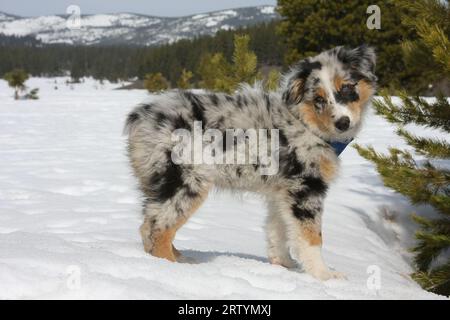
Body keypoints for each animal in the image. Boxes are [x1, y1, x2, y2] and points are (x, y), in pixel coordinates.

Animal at [124, 45, 376, 280]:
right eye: (319, 99)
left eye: (347, 88)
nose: (343, 123)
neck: (306, 122)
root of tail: (141, 118)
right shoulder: (305, 188)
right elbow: (311, 237)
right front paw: (325, 276)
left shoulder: (282, 191)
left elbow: (278, 229)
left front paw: (284, 265)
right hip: (186, 183)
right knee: (157, 231)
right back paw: (171, 269)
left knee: (150, 224)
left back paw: (182, 258)